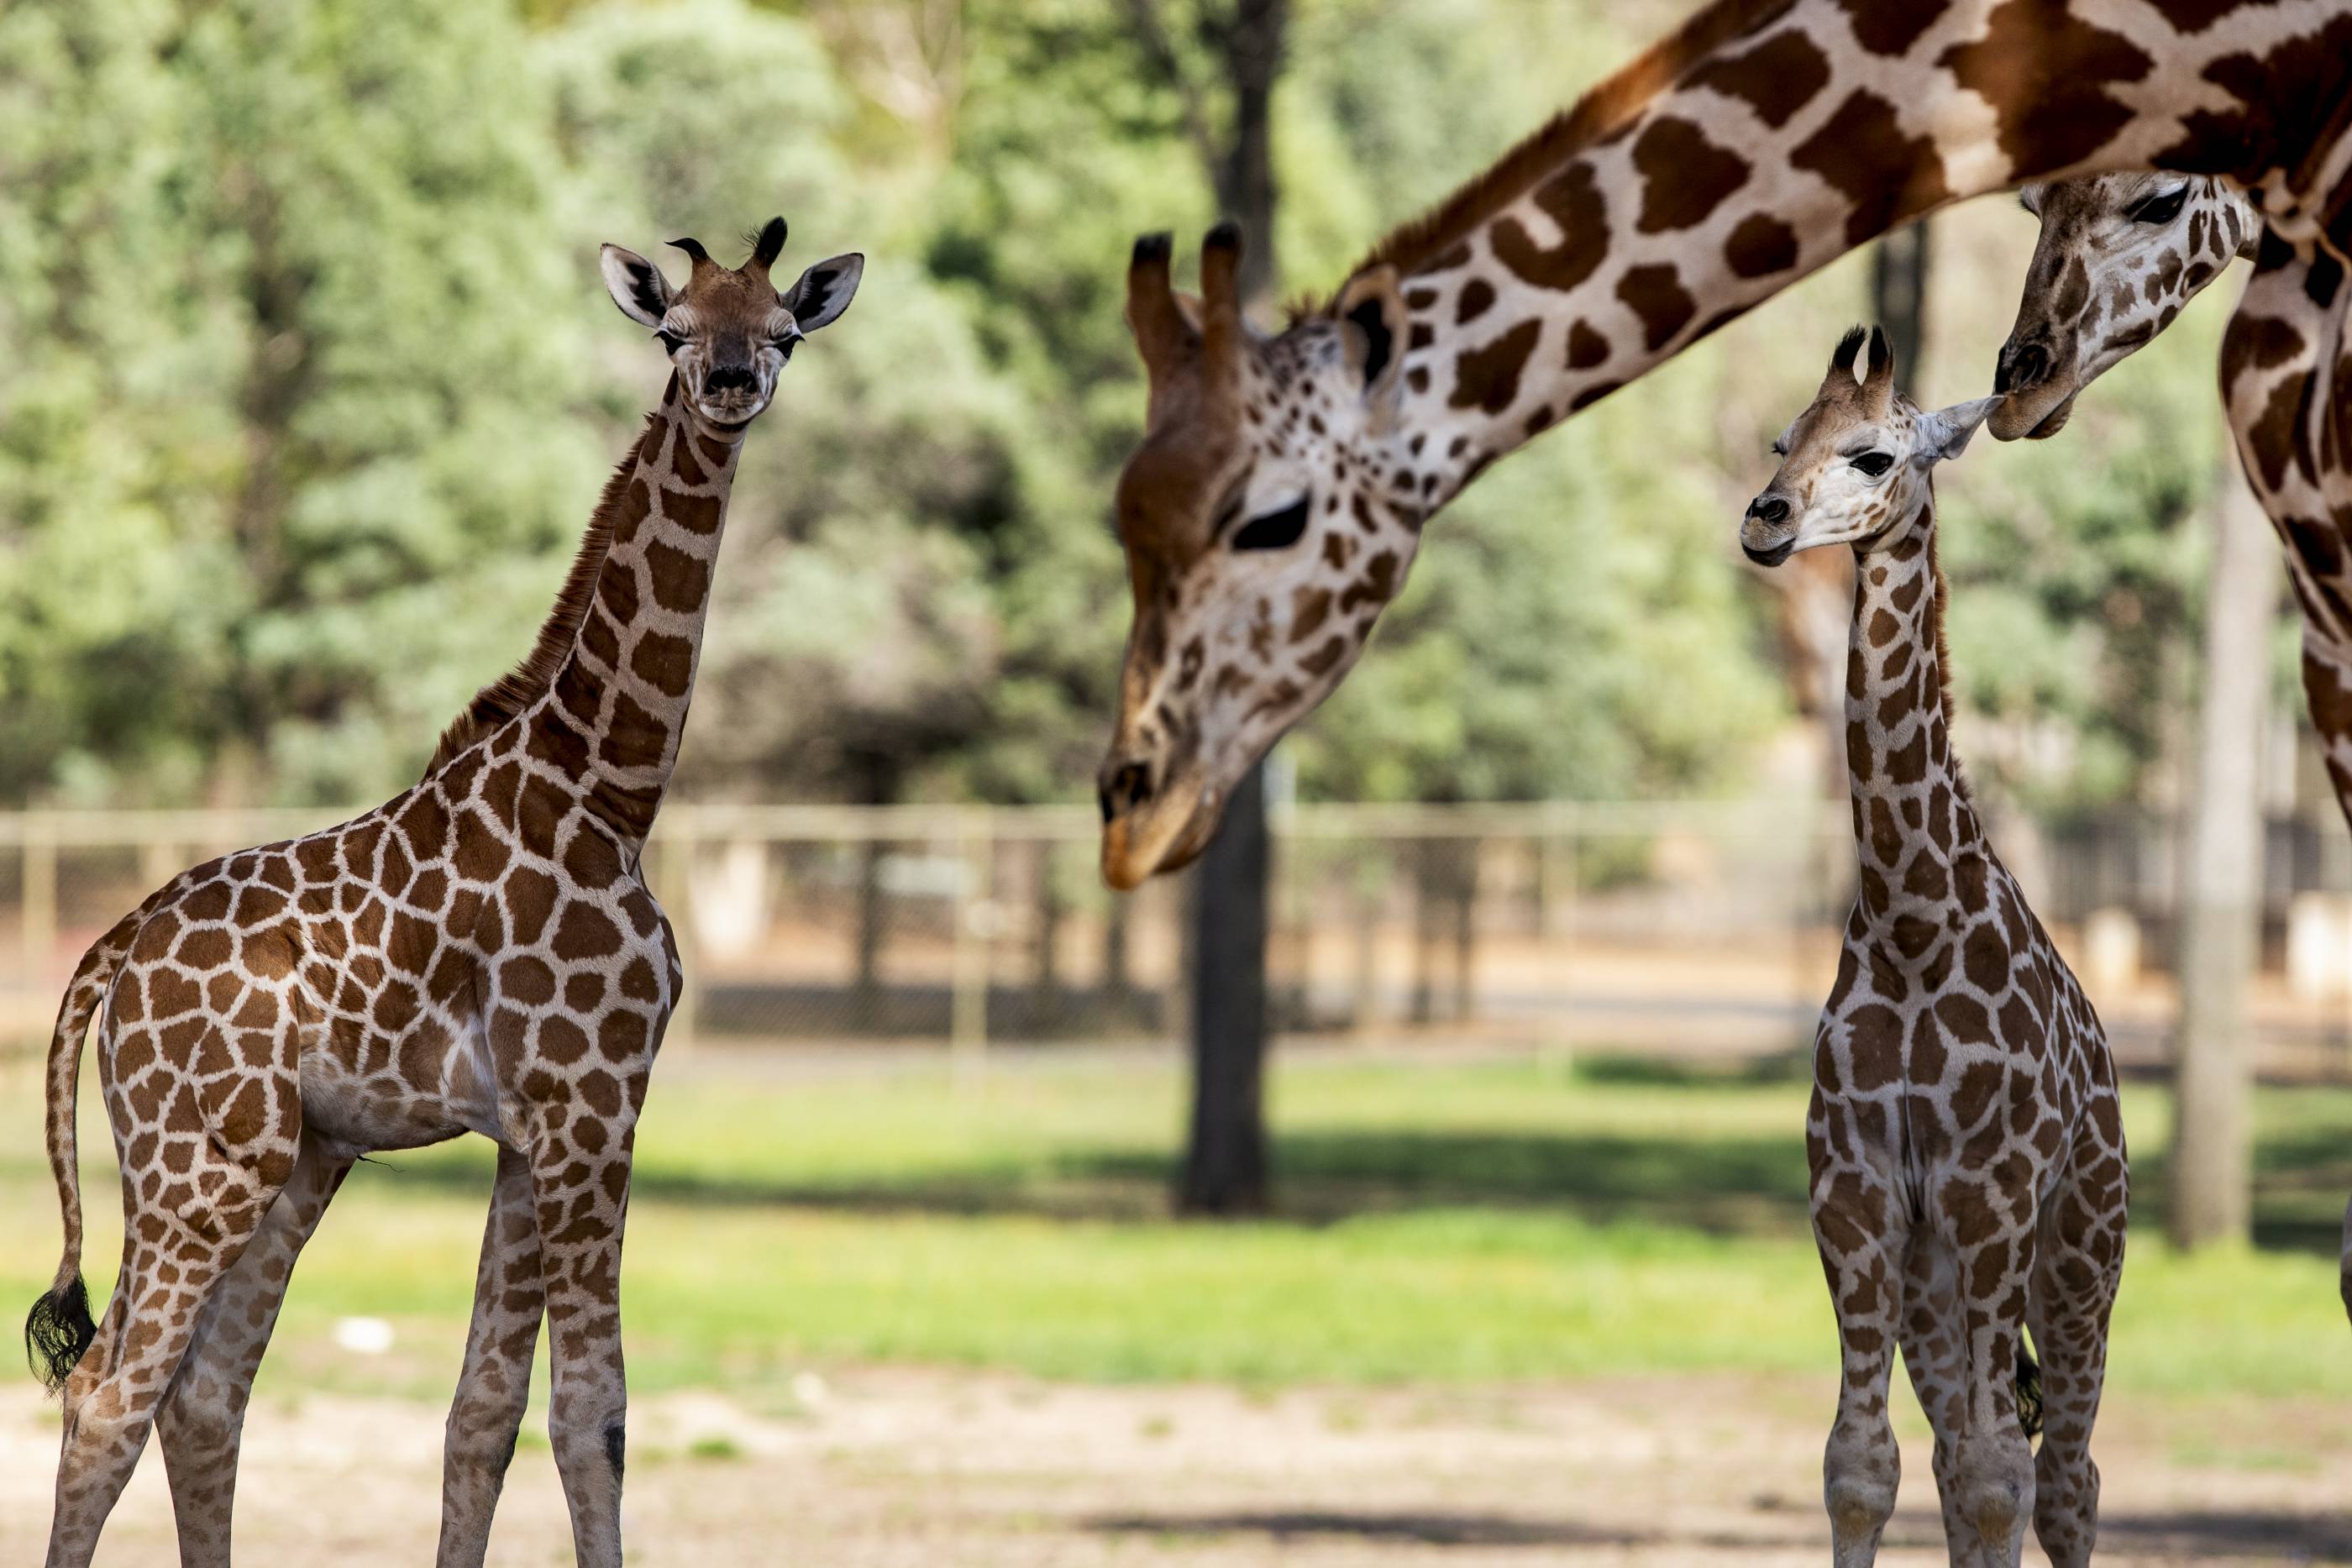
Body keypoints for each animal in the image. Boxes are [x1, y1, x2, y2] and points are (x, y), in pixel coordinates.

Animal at [1740, 328, 2145, 1568]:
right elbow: (1862, 1468)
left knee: (2064, 1476)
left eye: (1874, 454)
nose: (1764, 518)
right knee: (1964, 1454)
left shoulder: (1991, 1192)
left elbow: (1999, 1477)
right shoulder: (1858, 1192)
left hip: (2083, 1242)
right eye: (1784, 440)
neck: (1910, 916)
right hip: (1937, 1278)